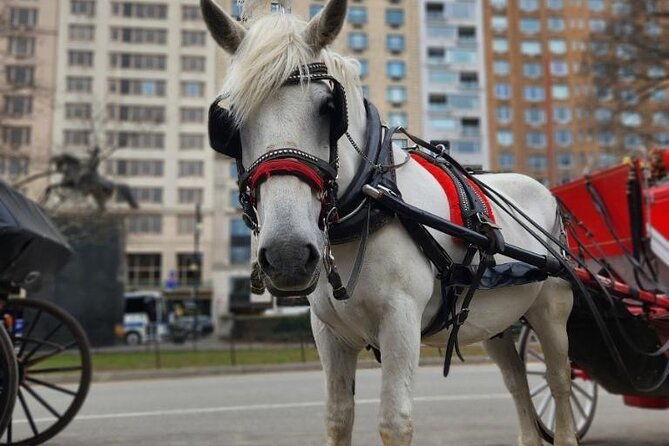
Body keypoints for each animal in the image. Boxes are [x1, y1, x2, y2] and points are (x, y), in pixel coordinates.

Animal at [201, 1, 578, 444]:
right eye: (227, 122)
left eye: (329, 109)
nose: (288, 255)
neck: (368, 202)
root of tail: (547, 192)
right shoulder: (327, 333)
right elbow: (338, 416)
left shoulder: (401, 321)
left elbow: (394, 422)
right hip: (496, 320)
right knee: (517, 382)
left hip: (551, 307)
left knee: (559, 380)